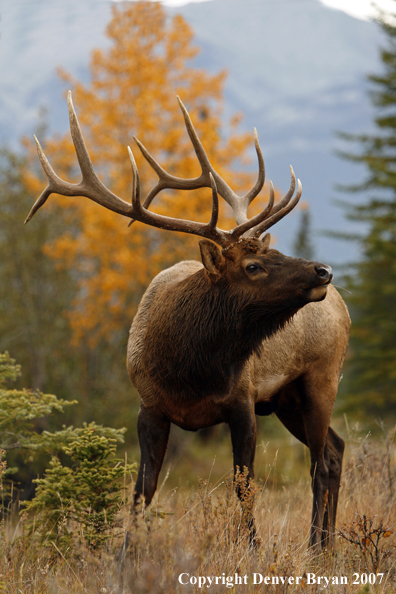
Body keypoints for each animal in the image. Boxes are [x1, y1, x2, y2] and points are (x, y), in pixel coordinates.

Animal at [26, 90, 350, 548]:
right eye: (252, 265)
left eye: (272, 251)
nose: (323, 271)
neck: (188, 368)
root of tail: (343, 305)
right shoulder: (149, 406)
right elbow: (142, 491)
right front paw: (125, 554)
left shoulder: (243, 401)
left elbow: (244, 486)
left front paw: (252, 550)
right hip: (287, 398)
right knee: (335, 452)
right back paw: (324, 545)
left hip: (321, 379)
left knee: (320, 462)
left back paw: (316, 547)